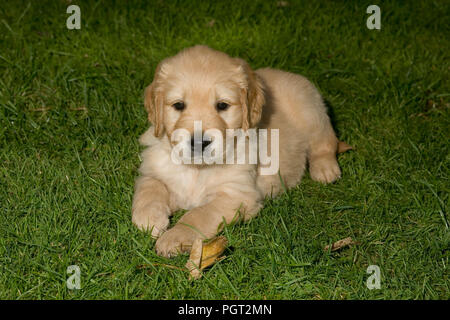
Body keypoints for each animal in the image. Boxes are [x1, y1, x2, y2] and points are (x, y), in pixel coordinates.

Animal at [132, 45, 340, 258]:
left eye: (222, 105)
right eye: (178, 105)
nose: (198, 142)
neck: (197, 169)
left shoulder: (236, 195)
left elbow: (198, 215)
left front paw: (174, 237)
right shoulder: (155, 171)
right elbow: (150, 188)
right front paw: (149, 218)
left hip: (311, 114)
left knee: (325, 142)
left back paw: (325, 170)